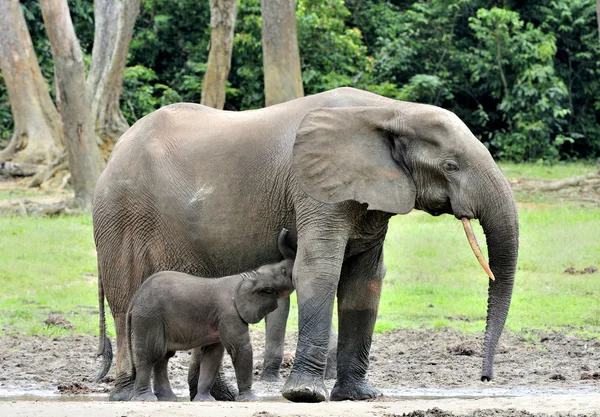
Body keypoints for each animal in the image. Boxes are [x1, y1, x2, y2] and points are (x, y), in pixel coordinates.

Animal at [117, 228, 296, 400]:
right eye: (283, 271)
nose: (286, 230)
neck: (249, 276)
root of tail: (135, 298)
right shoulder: (229, 314)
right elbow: (240, 348)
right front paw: (251, 399)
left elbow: (213, 355)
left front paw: (205, 400)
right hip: (149, 317)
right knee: (151, 354)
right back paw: (146, 399)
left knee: (163, 357)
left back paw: (167, 398)